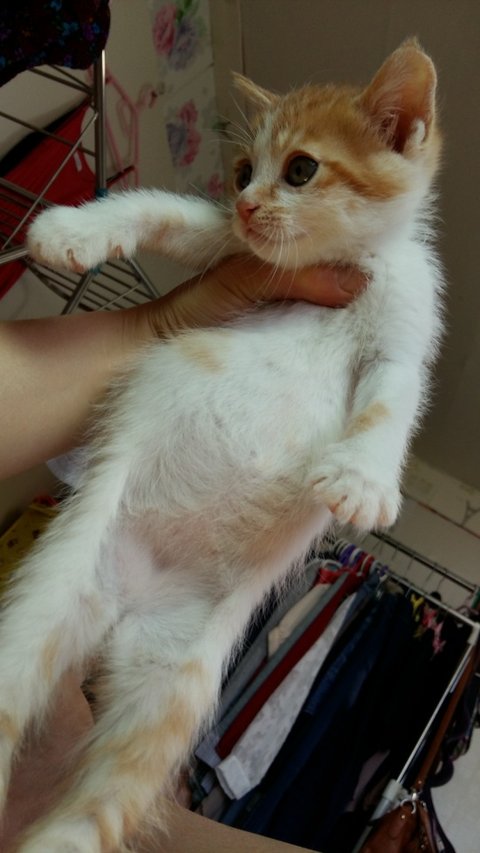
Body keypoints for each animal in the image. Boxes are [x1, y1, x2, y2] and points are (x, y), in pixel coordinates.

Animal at [2, 40, 442, 852]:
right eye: (241, 174)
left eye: (300, 169)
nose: (247, 203)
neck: (345, 262)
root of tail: (124, 607)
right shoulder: (232, 255)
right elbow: (167, 212)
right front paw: (73, 234)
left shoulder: (405, 332)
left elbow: (391, 401)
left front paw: (363, 479)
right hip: (47, 598)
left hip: (174, 683)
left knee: (104, 801)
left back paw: (63, 836)